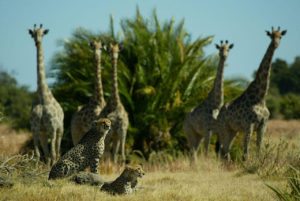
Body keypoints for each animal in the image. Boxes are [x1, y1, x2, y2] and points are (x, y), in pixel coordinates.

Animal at [216, 27, 286, 161]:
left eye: (280, 36)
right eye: (271, 36)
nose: (275, 44)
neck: (260, 98)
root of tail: (219, 113)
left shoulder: (263, 125)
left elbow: (259, 150)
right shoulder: (249, 125)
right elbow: (246, 154)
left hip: (233, 130)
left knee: (225, 151)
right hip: (224, 128)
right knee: (224, 150)